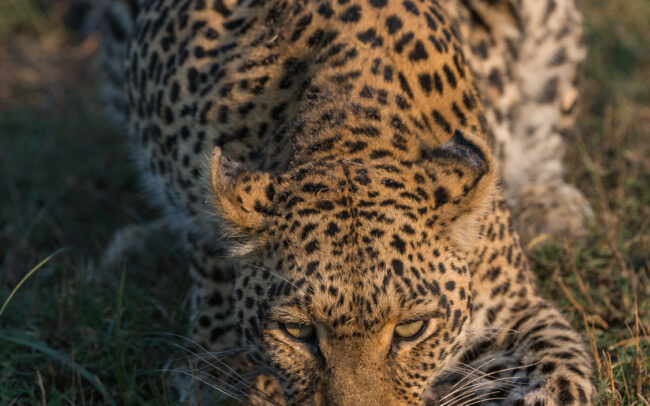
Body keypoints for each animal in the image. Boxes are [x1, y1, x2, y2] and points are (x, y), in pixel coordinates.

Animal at [96, 0, 595, 404]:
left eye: (411, 329)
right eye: (298, 331)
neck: (346, 118)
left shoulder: (515, 310)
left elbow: (561, 374)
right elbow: (207, 247)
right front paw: (225, 367)